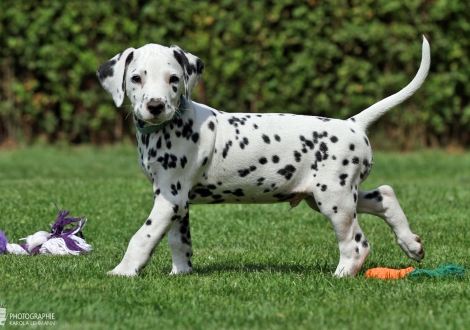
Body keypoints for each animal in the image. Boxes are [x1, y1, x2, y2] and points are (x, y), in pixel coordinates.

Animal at [97, 37, 432, 278]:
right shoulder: (179, 201)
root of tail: (353, 123)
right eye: (136, 78)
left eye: (174, 79)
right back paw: (411, 244)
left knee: (357, 243)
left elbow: (143, 236)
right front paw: (180, 273)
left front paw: (123, 272)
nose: (155, 106)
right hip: (330, 194)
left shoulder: (170, 198)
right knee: (384, 195)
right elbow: (179, 241)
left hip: (333, 199)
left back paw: (341, 275)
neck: (171, 124)